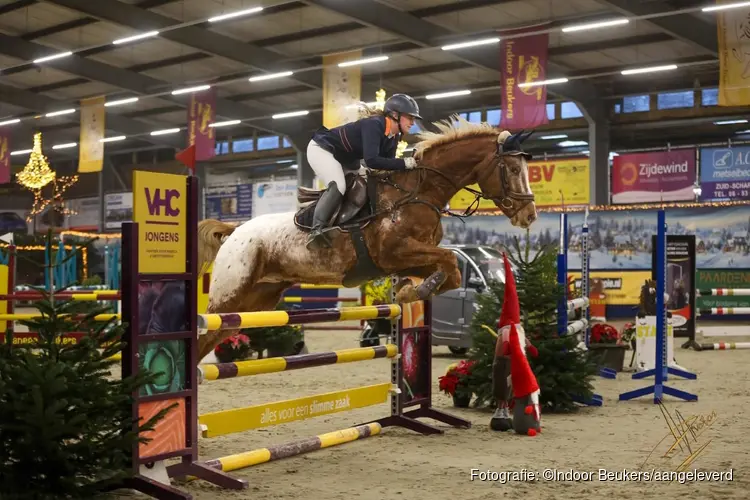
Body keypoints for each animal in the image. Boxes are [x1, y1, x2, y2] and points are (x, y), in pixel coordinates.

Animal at [194, 117, 540, 360]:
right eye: (512, 169)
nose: (529, 216)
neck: (418, 193)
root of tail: (235, 231)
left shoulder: (411, 257)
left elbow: (451, 272)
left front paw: (409, 290)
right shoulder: (394, 253)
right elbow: (450, 258)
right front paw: (410, 292)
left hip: (258, 299)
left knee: (217, 334)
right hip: (232, 293)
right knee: (204, 331)